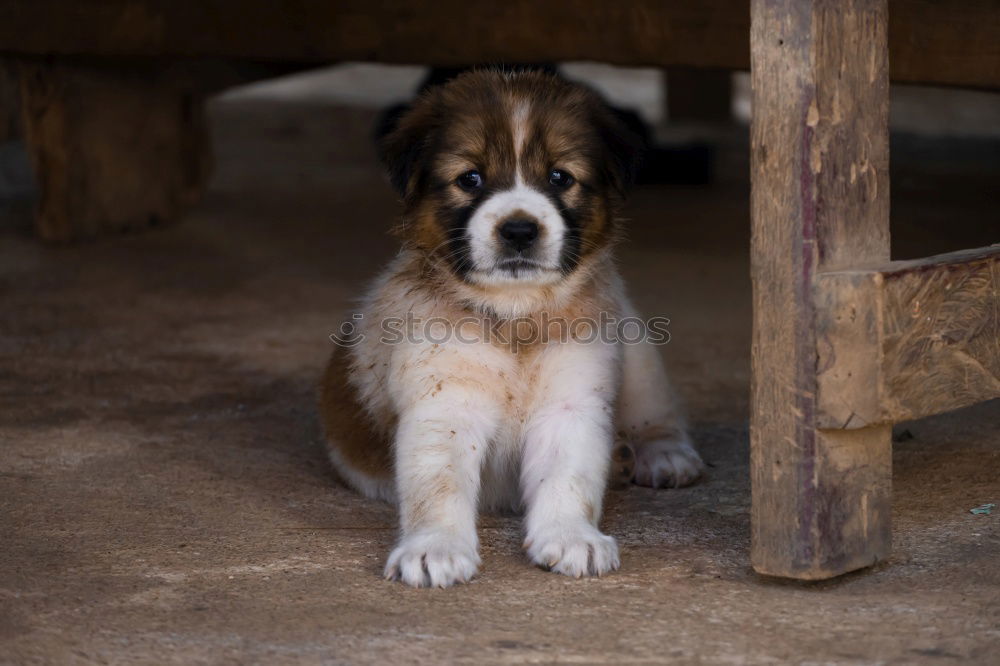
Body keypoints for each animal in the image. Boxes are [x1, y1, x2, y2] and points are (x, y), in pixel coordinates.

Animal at [320, 68, 704, 588]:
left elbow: (569, 476)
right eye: (470, 178)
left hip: (637, 349)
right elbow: (437, 487)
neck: (515, 318)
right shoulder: (444, 405)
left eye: (560, 177)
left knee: (656, 411)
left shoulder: (571, 404)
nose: (519, 230)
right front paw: (434, 547)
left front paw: (571, 536)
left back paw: (660, 454)